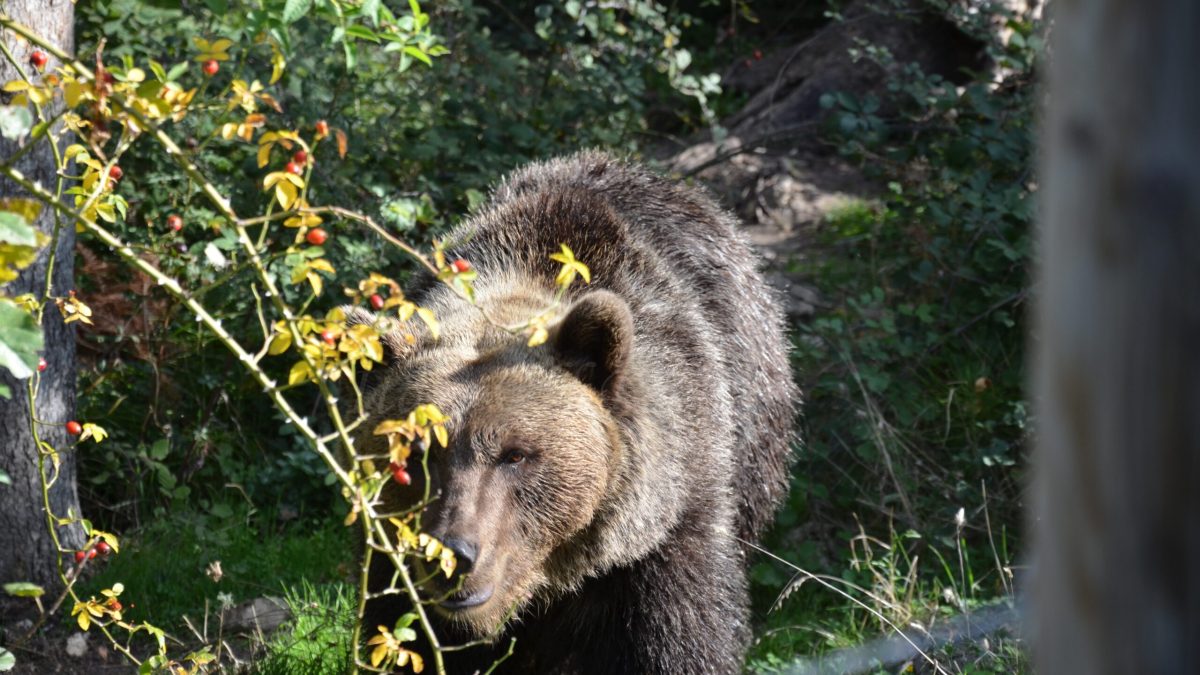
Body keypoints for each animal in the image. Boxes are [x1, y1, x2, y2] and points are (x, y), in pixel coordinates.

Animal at [349, 150, 796, 674]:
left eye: (516, 454)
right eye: (418, 452)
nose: (452, 555)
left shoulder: (667, 528)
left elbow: (681, 640)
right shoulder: (392, 560)